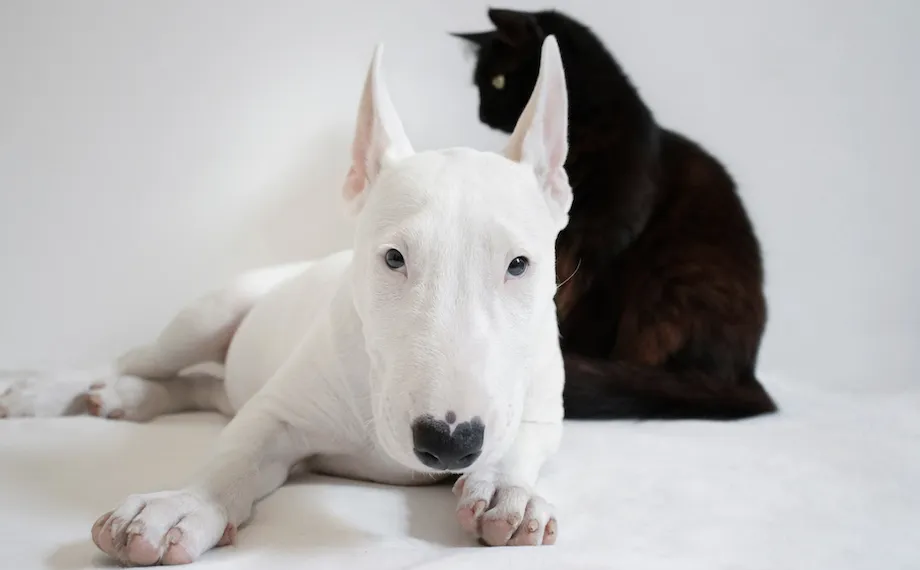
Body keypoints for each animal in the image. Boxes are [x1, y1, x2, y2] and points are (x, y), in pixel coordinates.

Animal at [1, 36, 576, 564]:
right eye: (394, 258)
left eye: (518, 265)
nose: (450, 442)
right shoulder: (279, 410)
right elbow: (236, 449)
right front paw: (179, 505)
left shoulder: (543, 405)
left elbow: (522, 438)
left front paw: (506, 492)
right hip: (204, 318)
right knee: (137, 361)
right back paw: (46, 392)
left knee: (204, 389)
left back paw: (130, 398)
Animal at [452, 7, 776, 418]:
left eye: (496, 81)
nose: (481, 113)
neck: (586, 132)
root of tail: (748, 374)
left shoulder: (600, 240)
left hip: (673, 279)